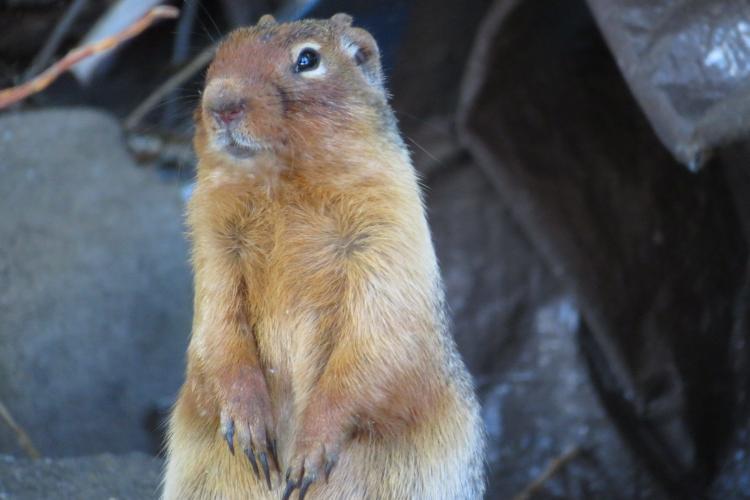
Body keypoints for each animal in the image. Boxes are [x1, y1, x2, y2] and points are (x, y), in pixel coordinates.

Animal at [162, 13, 485, 500]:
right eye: (220, 54)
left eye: (308, 59)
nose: (221, 103)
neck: (281, 186)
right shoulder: (215, 246)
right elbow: (217, 328)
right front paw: (249, 427)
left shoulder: (386, 234)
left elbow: (371, 345)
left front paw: (308, 455)